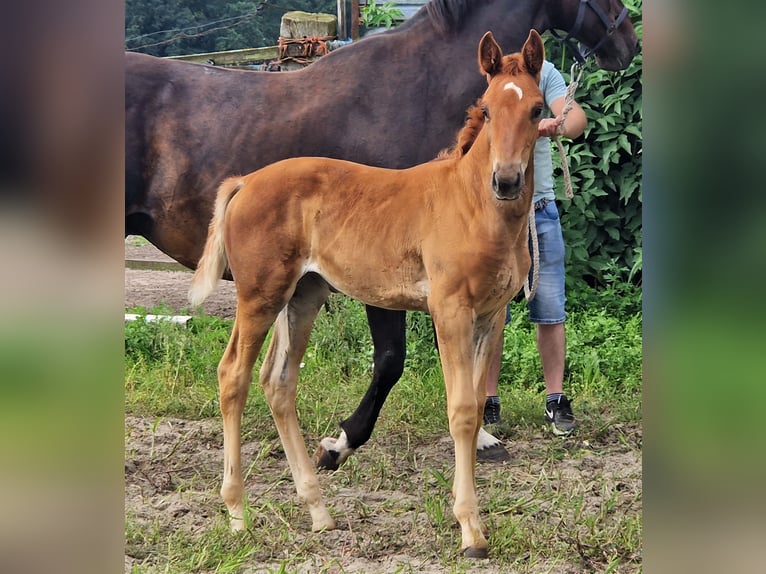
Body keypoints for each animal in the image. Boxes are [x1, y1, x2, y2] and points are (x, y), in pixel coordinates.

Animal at [127, 0, 640, 468]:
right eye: (489, 111)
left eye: (537, 110)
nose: (627, 41)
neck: (417, 85)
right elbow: (393, 358)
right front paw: (340, 442)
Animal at [189, 31, 548, 560]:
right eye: (486, 109)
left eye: (537, 109)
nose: (506, 181)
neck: (474, 206)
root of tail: (246, 181)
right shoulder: (451, 310)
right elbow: (461, 411)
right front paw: (470, 530)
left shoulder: (491, 315)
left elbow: (479, 402)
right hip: (260, 295)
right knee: (233, 374)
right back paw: (237, 513)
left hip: (302, 296)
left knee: (279, 382)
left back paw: (318, 510)